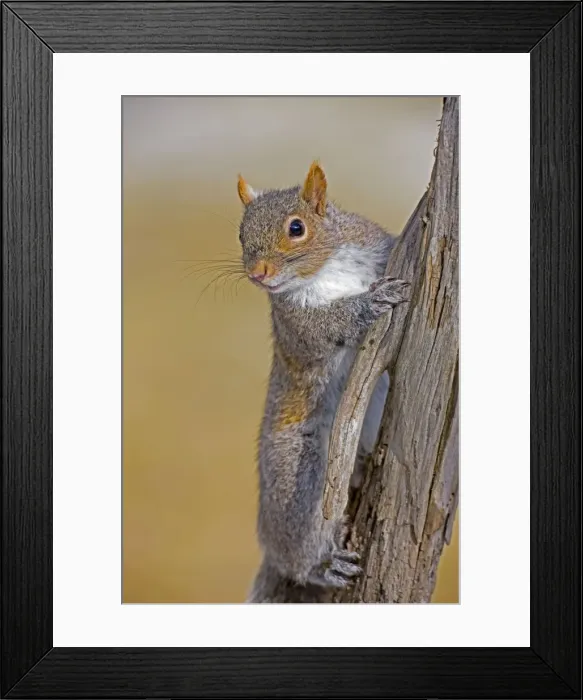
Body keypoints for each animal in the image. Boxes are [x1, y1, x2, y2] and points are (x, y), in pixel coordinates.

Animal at [236, 161, 409, 603]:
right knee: (298, 548)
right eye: (240, 234)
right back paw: (322, 566)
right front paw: (369, 302)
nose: (258, 274)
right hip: (300, 478)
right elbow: (328, 326)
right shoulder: (296, 326)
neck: (324, 270)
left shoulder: (375, 244)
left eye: (297, 228)